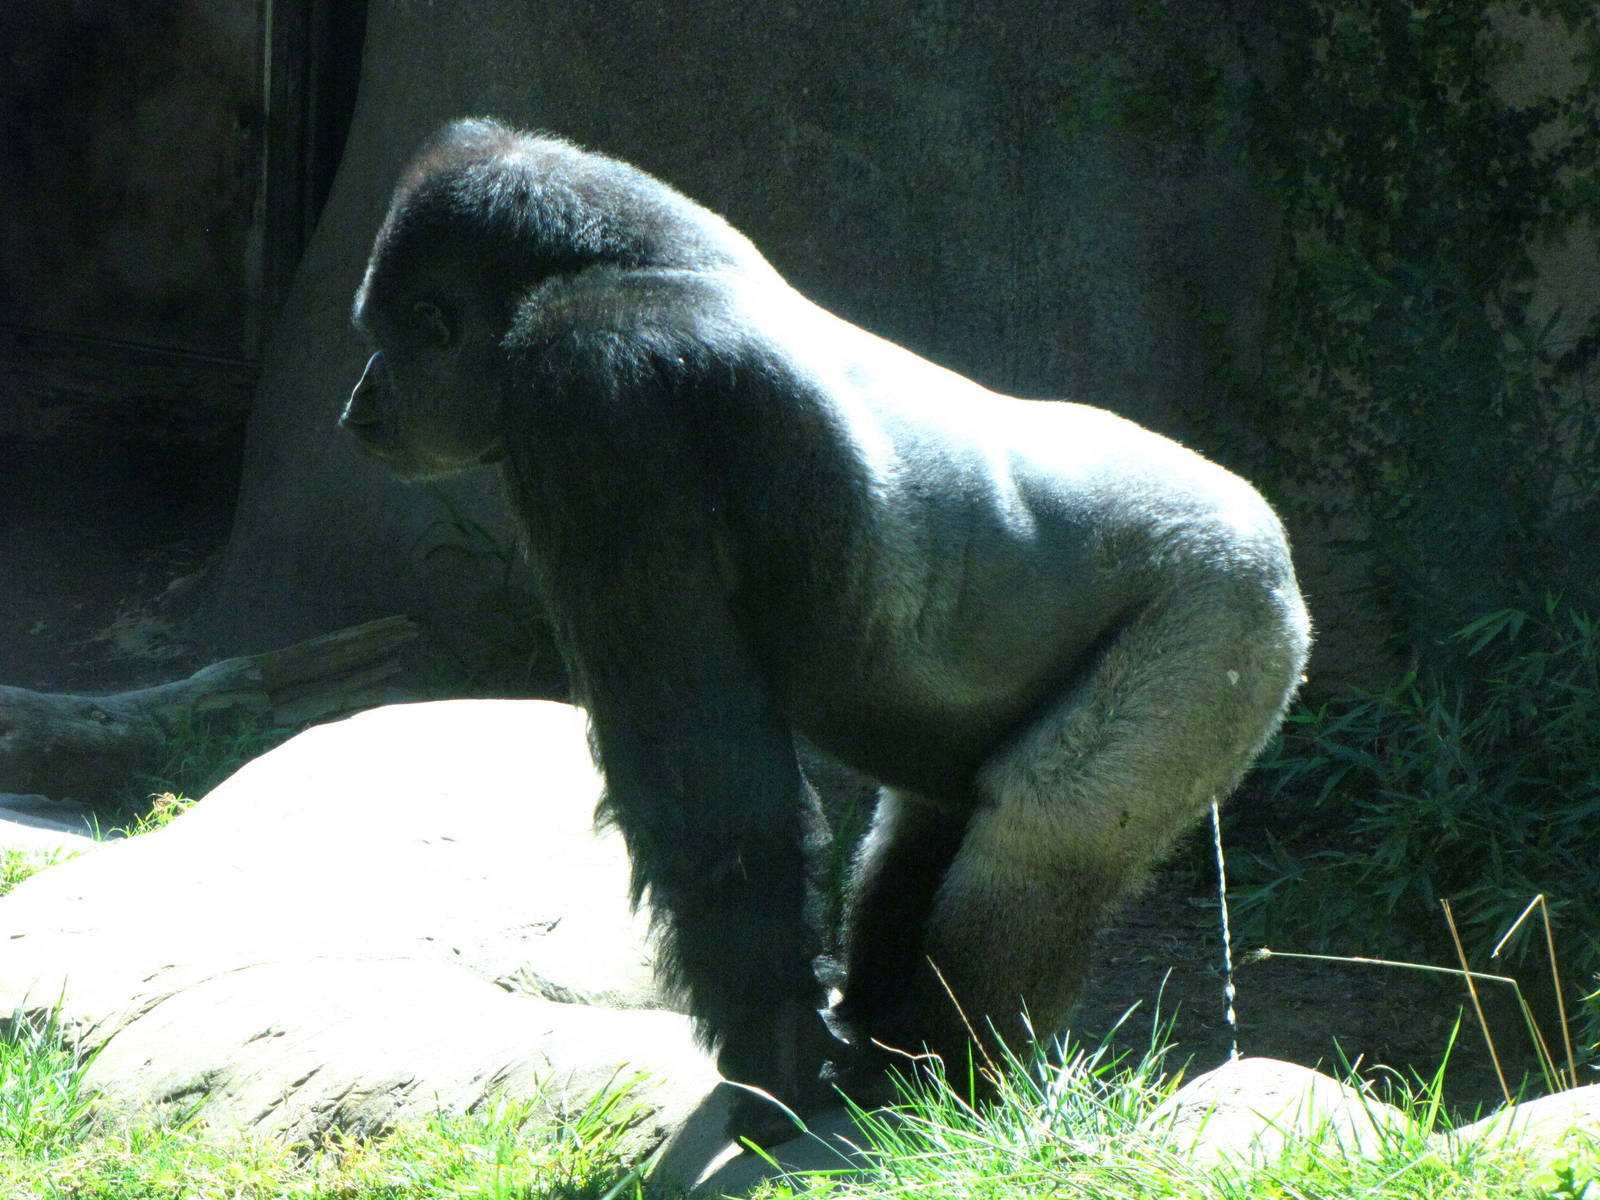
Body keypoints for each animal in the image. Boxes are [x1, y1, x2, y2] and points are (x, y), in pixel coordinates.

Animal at [342, 117, 1311, 1144]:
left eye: (387, 343)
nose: (355, 407)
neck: (653, 256)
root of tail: (1275, 542)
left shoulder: (595, 391)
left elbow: (709, 783)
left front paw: (773, 1061)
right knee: (928, 826)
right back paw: (895, 1047)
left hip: (1225, 610)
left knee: (1048, 836)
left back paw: (951, 1077)